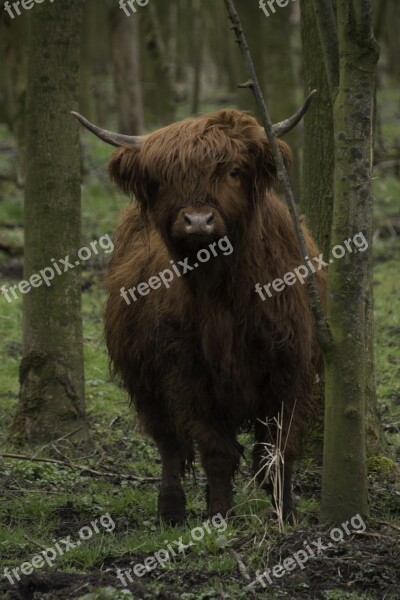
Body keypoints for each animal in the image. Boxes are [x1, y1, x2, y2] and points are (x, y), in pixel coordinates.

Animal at [73, 96, 326, 524]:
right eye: (165, 178)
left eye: (234, 172)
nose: (197, 221)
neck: (220, 290)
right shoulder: (185, 373)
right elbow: (215, 450)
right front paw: (220, 516)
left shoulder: (291, 365)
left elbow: (279, 449)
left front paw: (286, 512)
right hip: (146, 384)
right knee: (169, 444)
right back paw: (171, 508)